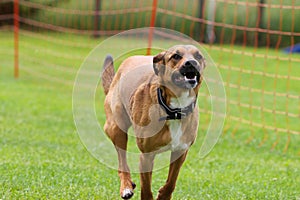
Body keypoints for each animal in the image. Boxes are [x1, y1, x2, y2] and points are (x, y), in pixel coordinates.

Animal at [102, 44, 205, 199]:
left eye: (198, 56)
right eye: (176, 56)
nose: (191, 63)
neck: (174, 111)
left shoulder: (180, 151)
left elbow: (171, 182)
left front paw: (163, 195)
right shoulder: (146, 155)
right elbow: (146, 188)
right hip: (116, 128)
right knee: (122, 162)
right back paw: (126, 186)